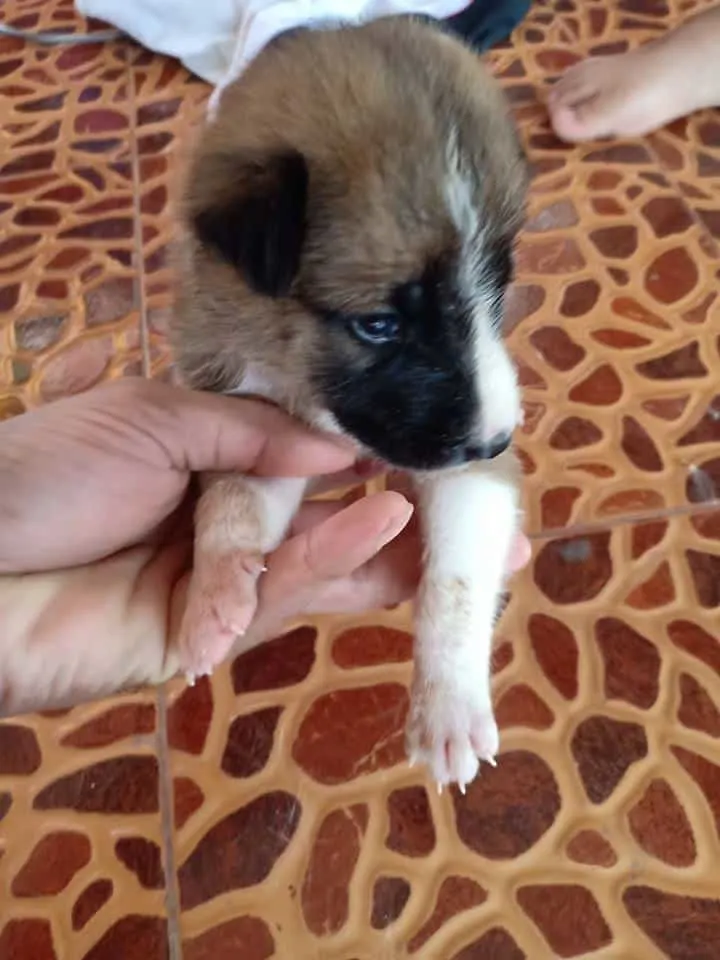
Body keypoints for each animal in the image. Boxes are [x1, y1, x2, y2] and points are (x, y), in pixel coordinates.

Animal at [169, 15, 528, 792]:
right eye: (379, 324)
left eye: (497, 285)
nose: (497, 441)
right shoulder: (257, 417)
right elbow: (232, 503)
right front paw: (214, 596)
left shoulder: (473, 478)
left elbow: (455, 582)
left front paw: (449, 705)